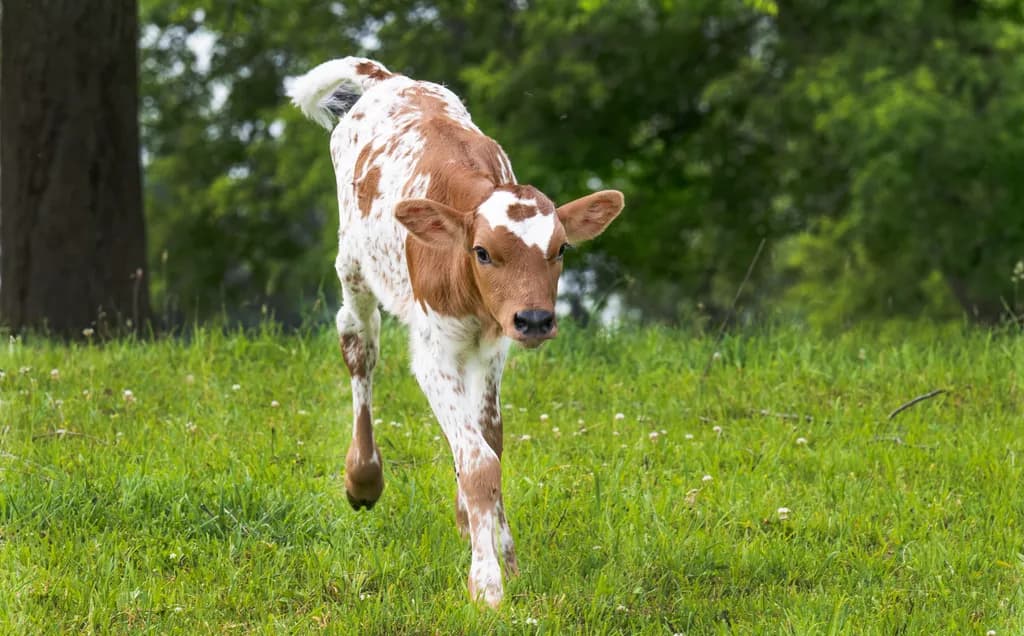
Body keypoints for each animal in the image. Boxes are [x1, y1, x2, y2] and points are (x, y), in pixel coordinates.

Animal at [287, 57, 624, 607]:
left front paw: (503, 554)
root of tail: (386, 77)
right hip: (353, 264)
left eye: (561, 249)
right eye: (482, 251)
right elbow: (480, 461)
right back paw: (363, 477)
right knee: (359, 343)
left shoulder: (493, 348)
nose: (535, 319)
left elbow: (489, 442)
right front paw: (487, 584)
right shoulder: (434, 352)